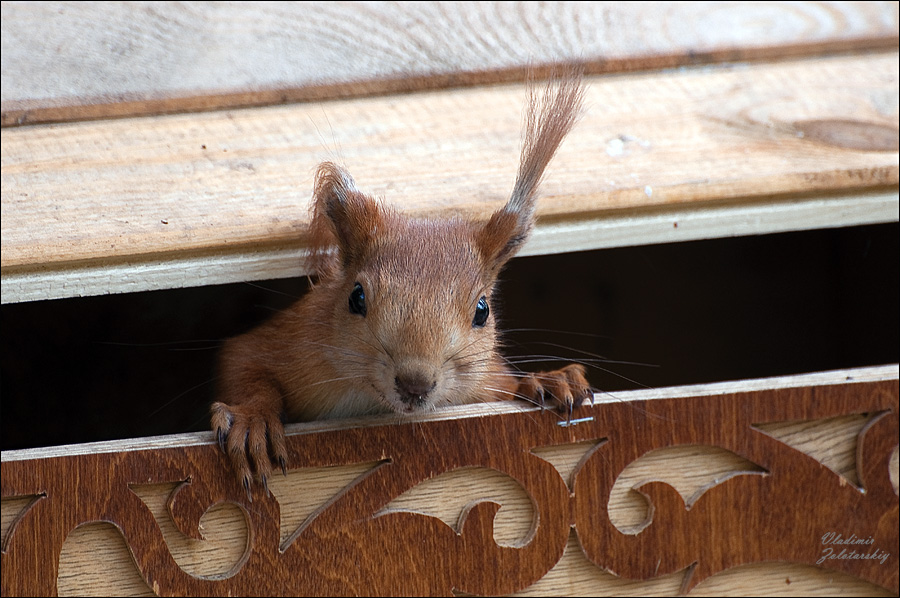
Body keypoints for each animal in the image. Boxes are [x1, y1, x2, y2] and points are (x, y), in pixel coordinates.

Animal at [211, 71, 592, 492]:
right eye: (356, 298)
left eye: (482, 310)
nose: (415, 384)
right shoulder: (292, 339)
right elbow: (243, 362)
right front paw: (253, 419)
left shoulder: (486, 382)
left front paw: (547, 381)